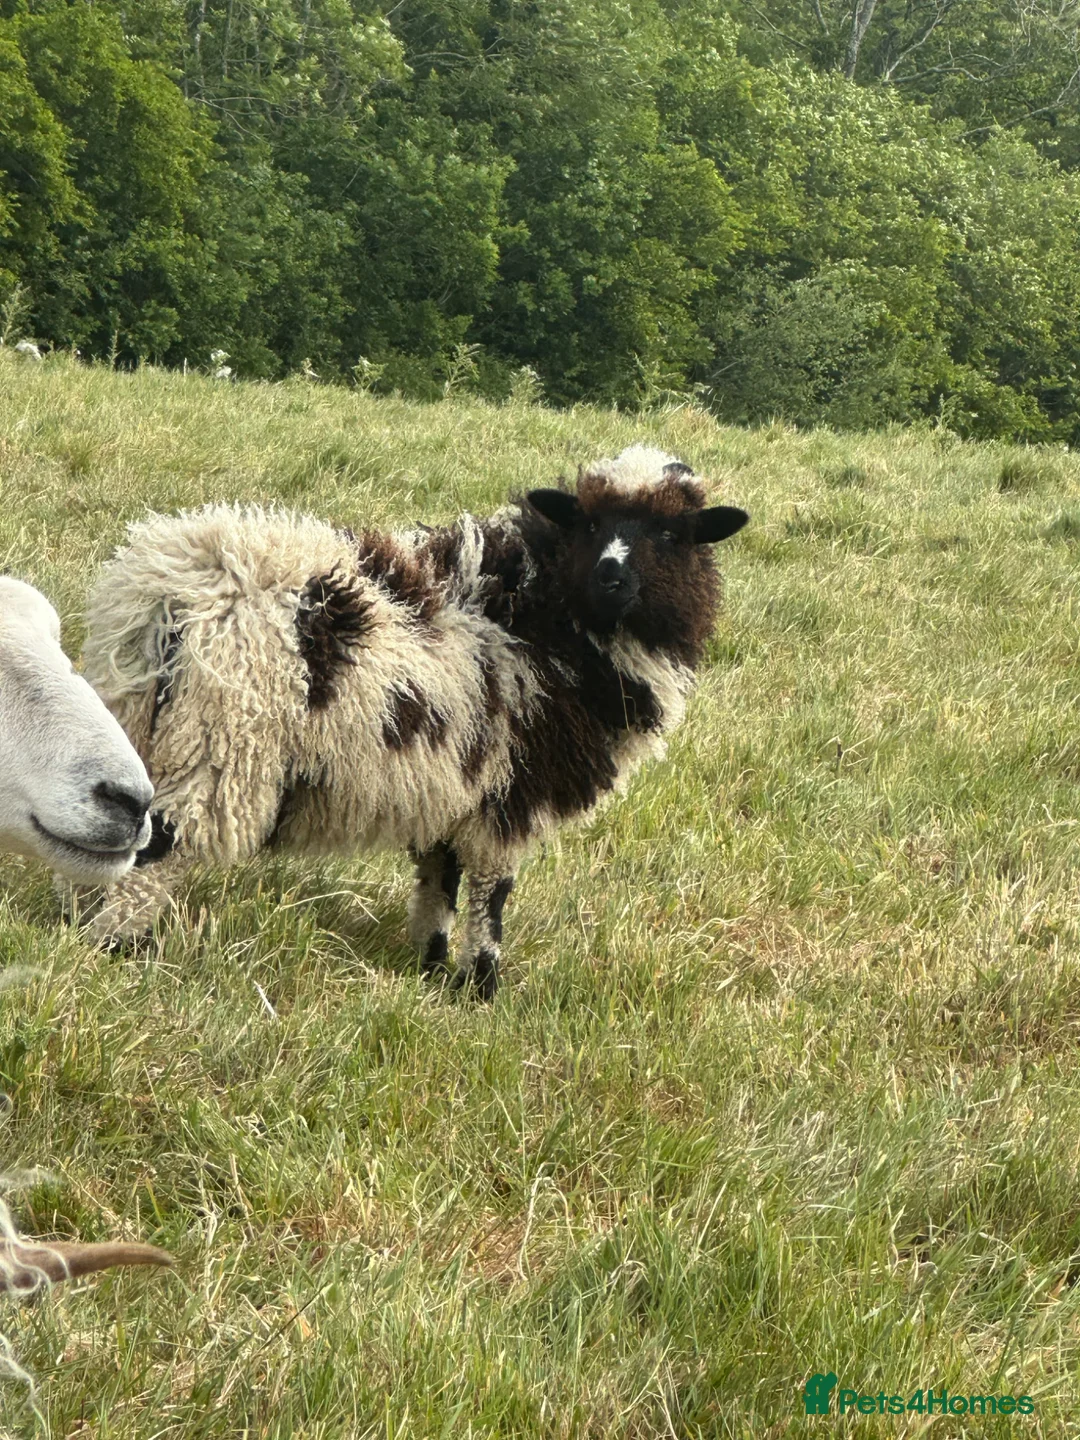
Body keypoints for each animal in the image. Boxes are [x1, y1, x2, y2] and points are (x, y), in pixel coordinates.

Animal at [76, 446, 749, 998]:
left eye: (672, 533)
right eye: (588, 524)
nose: (612, 576)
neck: (548, 620)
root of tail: (177, 589)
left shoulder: (451, 787)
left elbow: (437, 885)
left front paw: (429, 967)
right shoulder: (507, 798)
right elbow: (489, 897)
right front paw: (480, 989)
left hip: (134, 718)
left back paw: (77, 925)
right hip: (220, 739)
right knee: (158, 847)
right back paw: (117, 948)